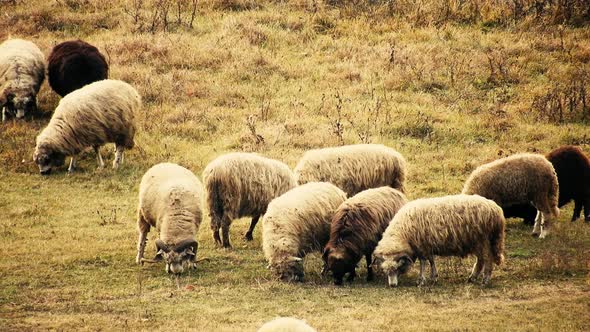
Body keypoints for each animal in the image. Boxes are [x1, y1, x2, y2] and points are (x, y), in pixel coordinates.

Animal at [374, 193, 508, 286]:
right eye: (385, 271)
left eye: (397, 268)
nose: (392, 285)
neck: (403, 232)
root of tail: (496, 210)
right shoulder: (426, 246)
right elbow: (431, 260)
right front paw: (434, 276)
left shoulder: (421, 246)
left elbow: (423, 263)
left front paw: (421, 280)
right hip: (477, 241)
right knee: (480, 260)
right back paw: (472, 278)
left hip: (483, 240)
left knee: (487, 258)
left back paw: (485, 279)